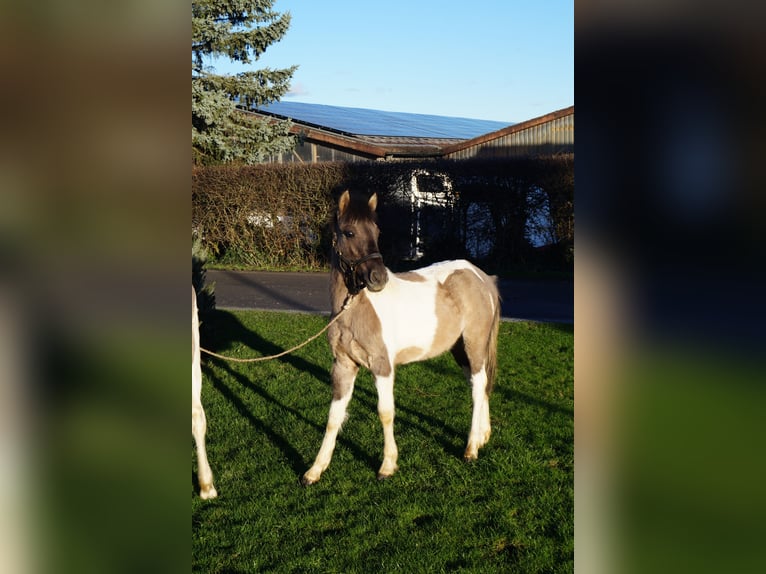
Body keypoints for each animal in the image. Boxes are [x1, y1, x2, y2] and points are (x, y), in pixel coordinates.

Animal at [304, 190, 500, 486]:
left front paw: (387, 465)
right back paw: (483, 436)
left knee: (478, 388)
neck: (354, 309)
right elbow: (334, 417)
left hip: (474, 344)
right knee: (480, 384)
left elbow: (386, 412)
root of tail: (480, 276)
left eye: (376, 231)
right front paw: (315, 469)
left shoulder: (382, 367)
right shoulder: (343, 365)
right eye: (349, 232)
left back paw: (471, 448)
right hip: (460, 350)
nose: (378, 278)